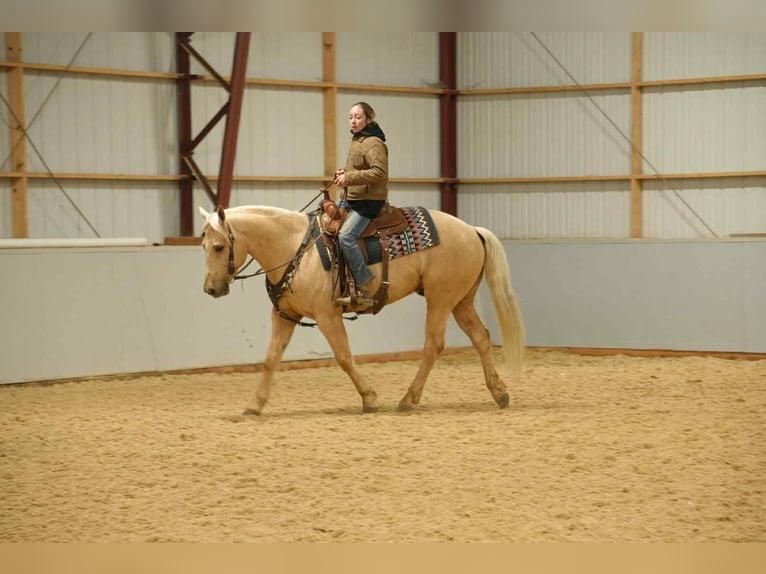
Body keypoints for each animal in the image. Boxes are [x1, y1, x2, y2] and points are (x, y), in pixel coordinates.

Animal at [198, 202, 526, 415]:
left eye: (219, 247)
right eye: (203, 246)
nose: (210, 289)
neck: (294, 248)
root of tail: (472, 229)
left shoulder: (327, 316)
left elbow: (344, 357)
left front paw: (369, 398)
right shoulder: (285, 316)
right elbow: (270, 359)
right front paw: (255, 404)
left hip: (441, 299)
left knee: (434, 345)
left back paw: (408, 399)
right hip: (461, 300)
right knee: (481, 337)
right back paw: (500, 393)